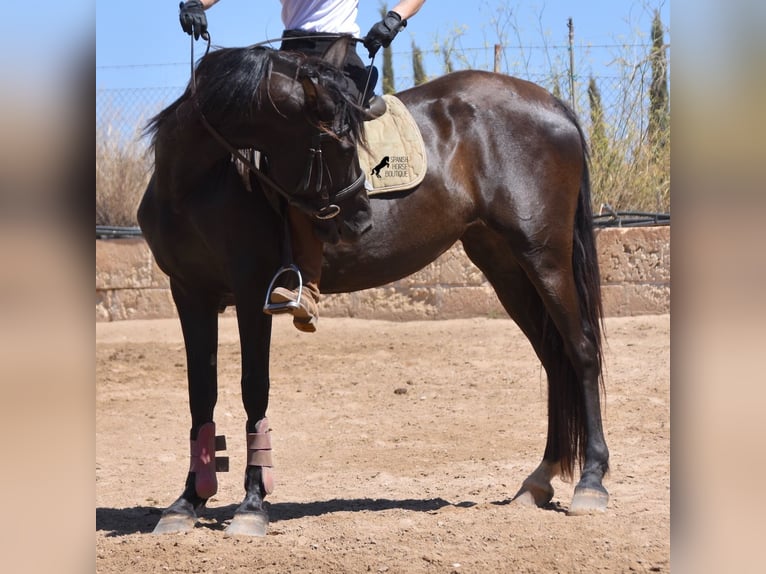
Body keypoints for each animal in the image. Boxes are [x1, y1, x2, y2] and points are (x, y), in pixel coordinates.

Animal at [140, 39, 612, 536]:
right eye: (339, 142)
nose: (361, 218)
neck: (196, 184)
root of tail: (553, 105)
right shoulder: (189, 293)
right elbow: (201, 393)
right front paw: (187, 502)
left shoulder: (253, 293)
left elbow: (254, 387)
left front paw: (251, 505)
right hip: (504, 264)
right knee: (554, 358)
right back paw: (540, 480)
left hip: (544, 255)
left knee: (580, 351)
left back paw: (591, 482)